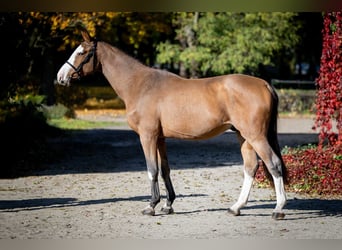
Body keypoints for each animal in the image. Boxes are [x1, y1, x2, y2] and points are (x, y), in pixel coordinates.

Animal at [57, 27, 288, 219]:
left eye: (81, 52)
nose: (60, 77)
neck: (140, 85)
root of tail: (264, 84)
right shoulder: (160, 138)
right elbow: (165, 169)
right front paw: (168, 205)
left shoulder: (147, 136)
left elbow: (152, 169)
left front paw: (151, 206)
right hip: (244, 136)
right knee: (251, 166)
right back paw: (236, 207)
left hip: (256, 136)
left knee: (273, 164)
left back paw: (278, 209)